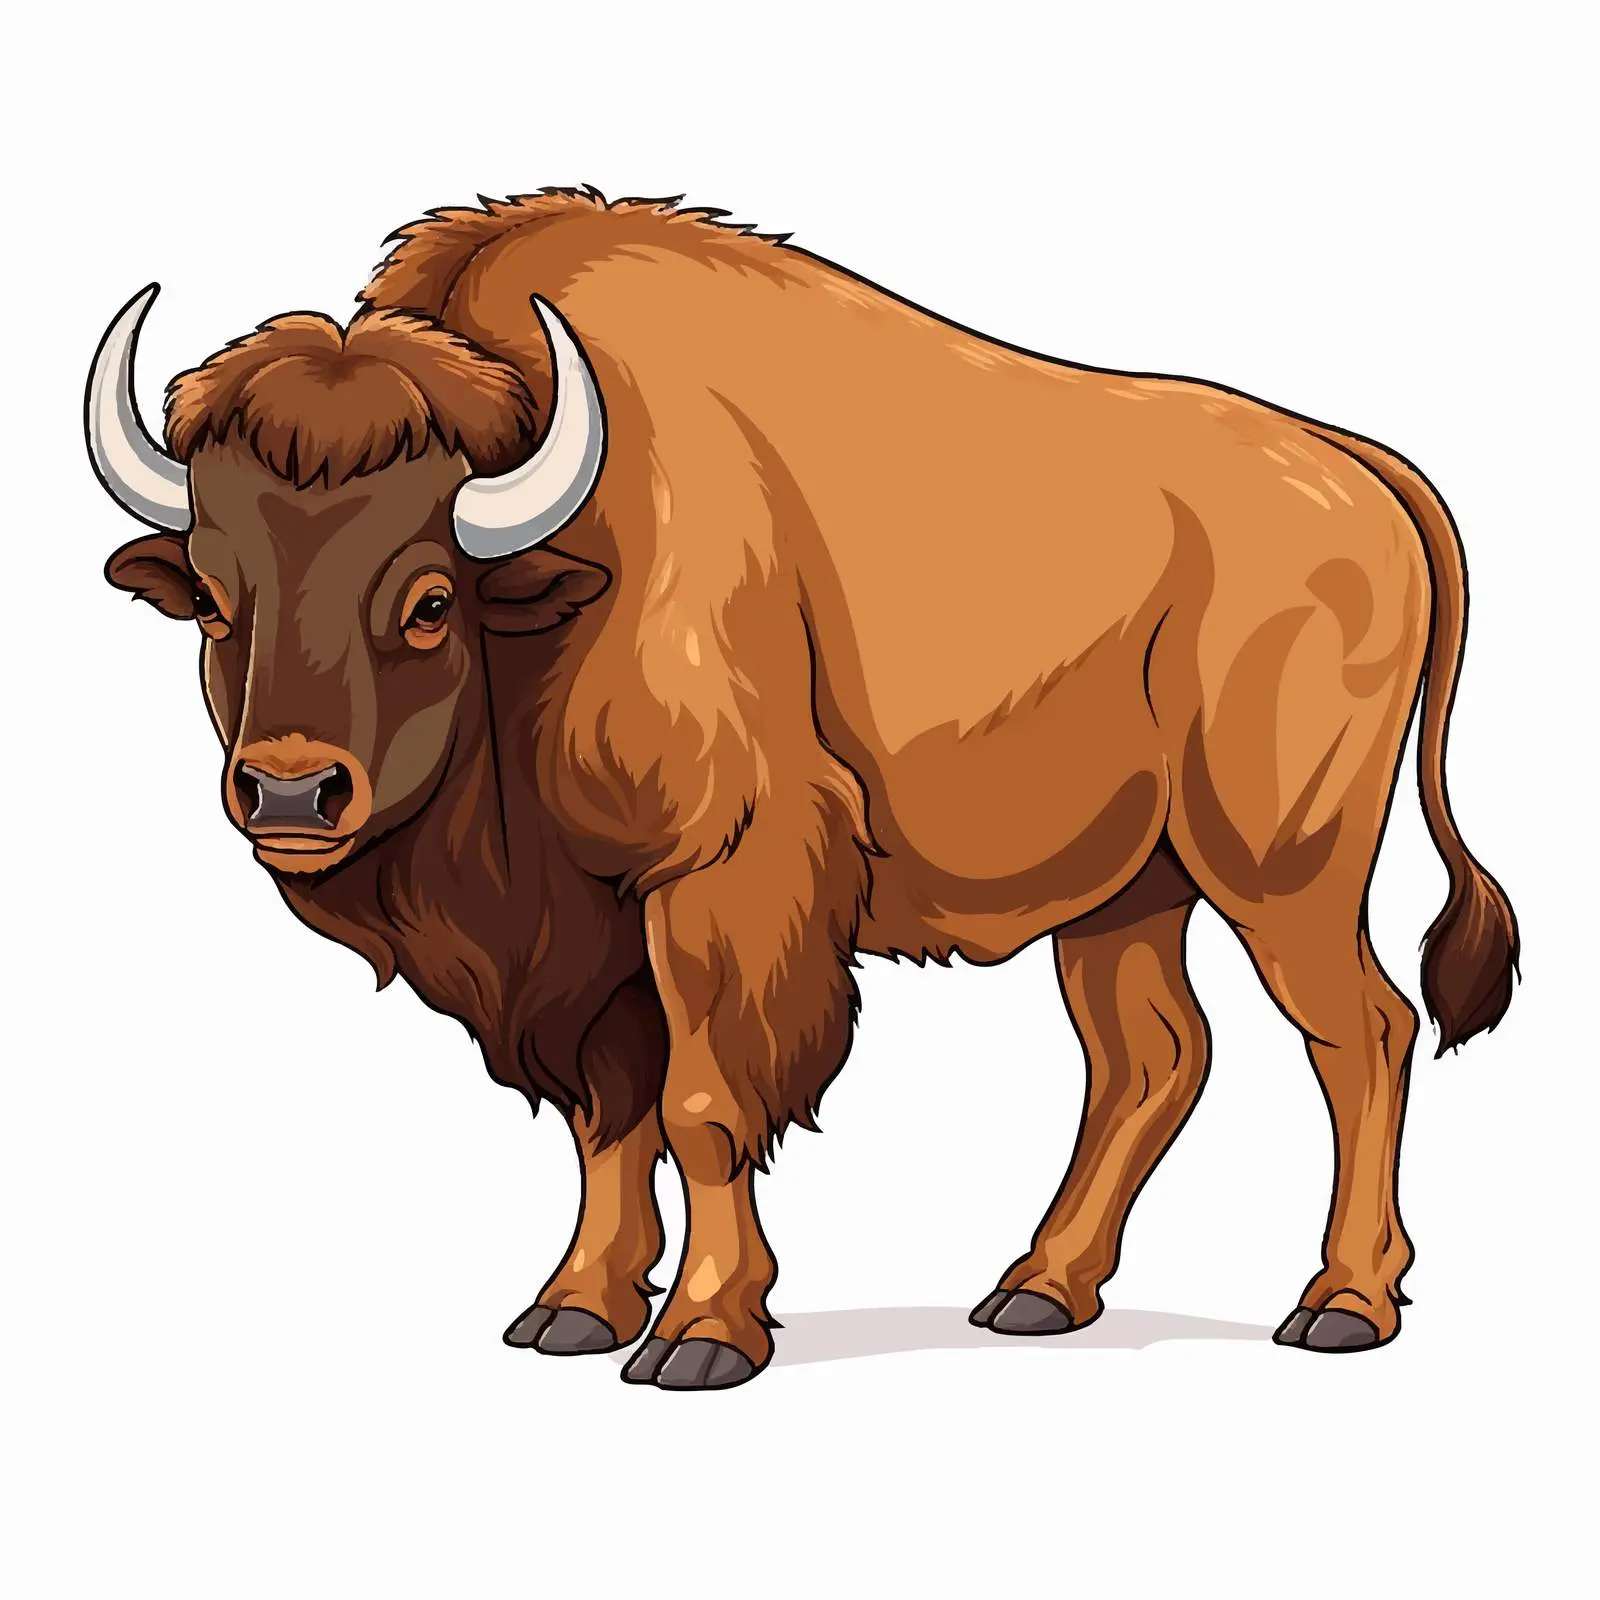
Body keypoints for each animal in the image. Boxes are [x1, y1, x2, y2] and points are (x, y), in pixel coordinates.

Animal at [88, 188, 1518, 1390]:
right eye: (212, 598)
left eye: (431, 601)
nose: (288, 794)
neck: (569, 566)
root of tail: (1351, 465)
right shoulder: (596, 933)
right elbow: (608, 1117)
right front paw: (570, 1310)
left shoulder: (715, 877)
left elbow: (704, 1102)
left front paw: (702, 1336)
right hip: (1127, 892)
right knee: (1150, 1057)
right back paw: (1038, 1291)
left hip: (1281, 865)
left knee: (1359, 1031)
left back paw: (1338, 1304)